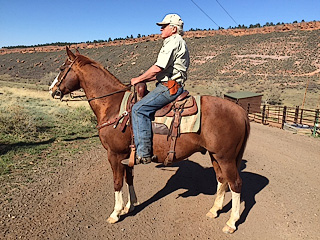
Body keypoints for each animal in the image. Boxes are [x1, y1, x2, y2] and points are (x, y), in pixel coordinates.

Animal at [50, 46, 250, 232]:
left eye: (61, 68)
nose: (52, 90)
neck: (113, 106)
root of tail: (241, 112)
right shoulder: (126, 156)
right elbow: (129, 178)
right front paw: (130, 206)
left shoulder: (114, 155)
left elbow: (117, 182)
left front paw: (115, 213)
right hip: (215, 156)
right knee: (222, 180)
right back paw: (214, 210)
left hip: (226, 158)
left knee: (236, 184)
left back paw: (231, 223)